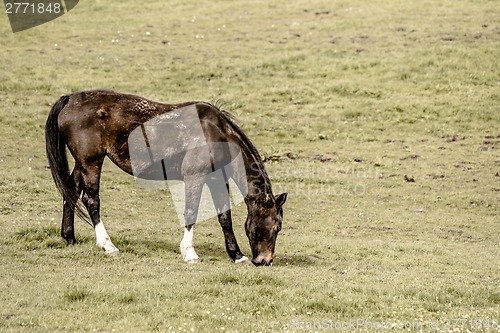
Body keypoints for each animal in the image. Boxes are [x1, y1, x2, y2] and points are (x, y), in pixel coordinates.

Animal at [47, 88, 290, 264]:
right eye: (276, 227)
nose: (265, 260)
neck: (216, 134)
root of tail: (70, 99)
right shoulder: (195, 177)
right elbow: (191, 212)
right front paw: (190, 253)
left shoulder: (217, 180)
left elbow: (224, 216)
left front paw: (237, 255)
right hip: (91, 162)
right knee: (91, 200)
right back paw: (108, 245)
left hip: (82, 163)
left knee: (71, 191)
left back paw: (69, 237)